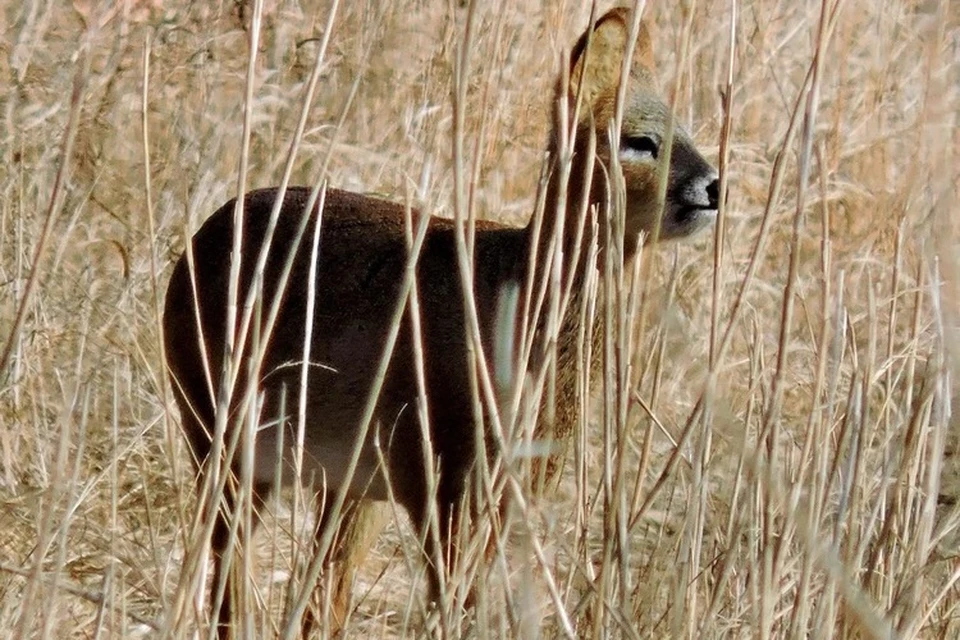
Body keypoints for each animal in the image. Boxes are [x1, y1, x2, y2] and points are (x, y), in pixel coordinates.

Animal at [165, 6, 720, 636]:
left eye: (689, 130)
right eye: (638, 141)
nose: (713, 186)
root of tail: (191, 248)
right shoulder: (442, 478)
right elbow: (455, 600)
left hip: (341, 483)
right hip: (222, 435)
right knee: (228, 571)